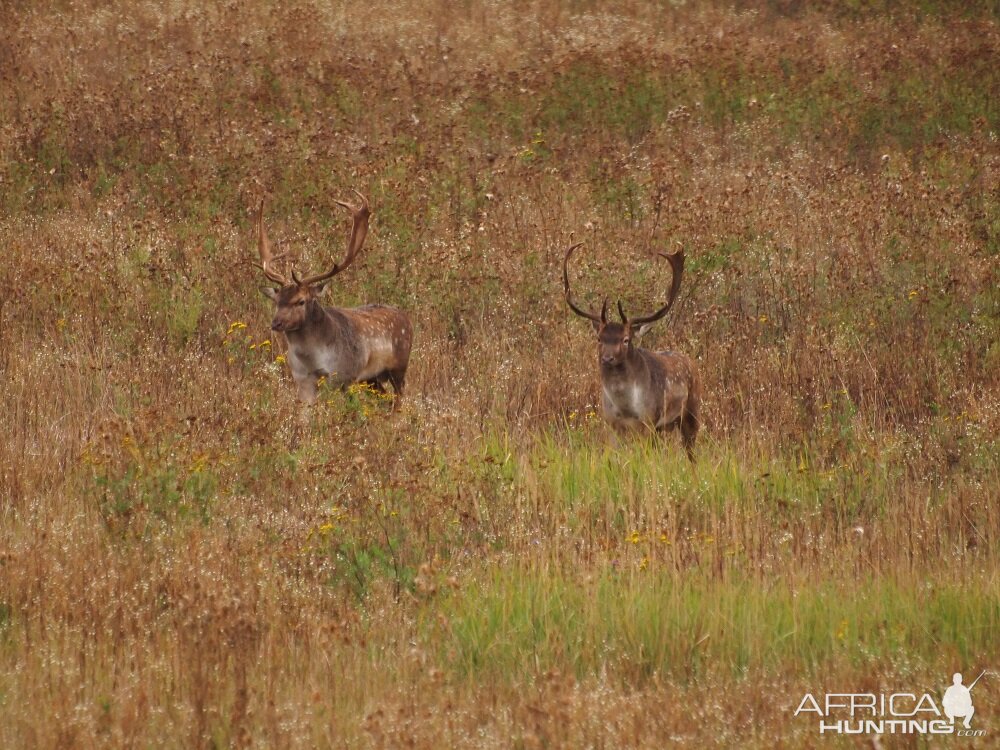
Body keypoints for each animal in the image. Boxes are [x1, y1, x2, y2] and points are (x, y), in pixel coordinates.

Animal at [258, 191, 414, 408]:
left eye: (301, 301)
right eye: (277, 301)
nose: (276, 323)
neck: (312, 358)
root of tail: (407, 318)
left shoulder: (344, 376)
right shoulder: (302, 379)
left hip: (399, 366)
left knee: (398, 399)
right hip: (372, 379)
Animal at [568, 244, 700, 462]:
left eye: (625, 339)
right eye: (599, 339)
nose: (607, 358)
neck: (626, 407)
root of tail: (691, 361)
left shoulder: (648, 420)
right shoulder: (611, 423)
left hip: (691, 411)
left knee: (692, 453)